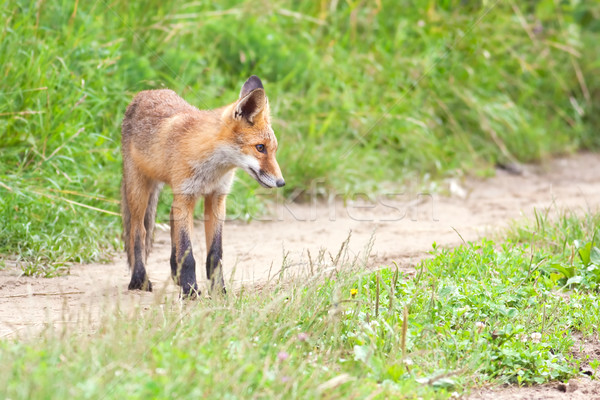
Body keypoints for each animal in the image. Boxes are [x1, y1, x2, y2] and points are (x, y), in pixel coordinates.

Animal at [120, 76, 284, 296]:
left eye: (273, 150)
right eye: (260, 148)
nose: (281, 182)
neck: (212, 170)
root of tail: (144, 93)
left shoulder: (216, 198)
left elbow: (215, 253)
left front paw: (218, 290)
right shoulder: (185, 197)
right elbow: (188, 253)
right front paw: (190, 291)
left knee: (170, 220)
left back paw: (176, 273)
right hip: (138, 190)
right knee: (139, 232)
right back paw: (139, 278)